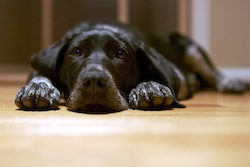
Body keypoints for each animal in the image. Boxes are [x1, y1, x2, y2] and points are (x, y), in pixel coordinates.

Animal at [15, 20, 246, 112]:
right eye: (77, 52)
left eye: (120, 54)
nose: (94, 82)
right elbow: (40, 75)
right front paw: (39, 88)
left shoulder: (179, 75)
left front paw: (149, 87)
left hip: (190, 48)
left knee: (213, 73)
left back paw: (232, 82)